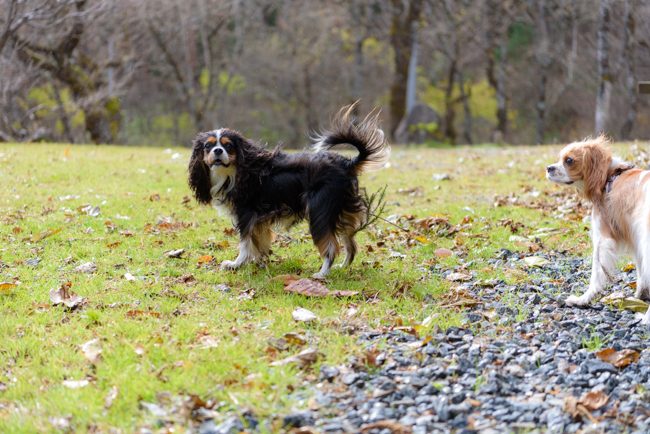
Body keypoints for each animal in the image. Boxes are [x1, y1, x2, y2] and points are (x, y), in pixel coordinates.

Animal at [187, 105, 390, 278]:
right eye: (208, 146)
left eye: (228, 146)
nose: (218, 151)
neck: (238, 170)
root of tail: (347, 163)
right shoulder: (258, 220)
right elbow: (257, 242)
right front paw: (258, 262)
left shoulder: (246, 215)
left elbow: (245, 243)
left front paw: (237, 264)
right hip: (342, 212)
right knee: (350, 243)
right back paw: (341, 267)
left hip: (319, 212)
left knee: (331, 247)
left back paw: (322, 274)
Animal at [544, 136, 644, 326]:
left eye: (569, 160)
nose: (548, 168)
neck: (609, 176)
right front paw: (641, 296)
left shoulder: (602, 239)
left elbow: (596, 274)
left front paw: (583, 299)